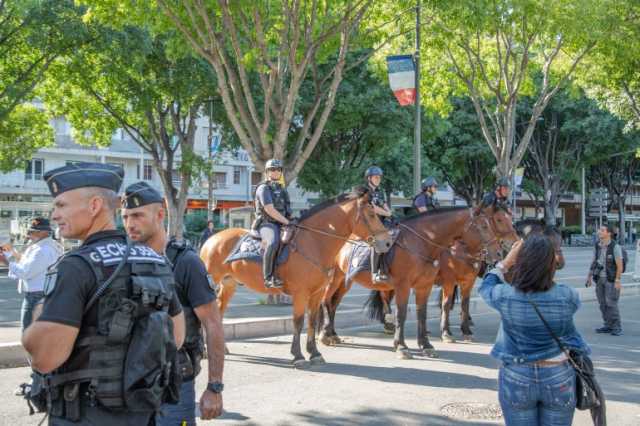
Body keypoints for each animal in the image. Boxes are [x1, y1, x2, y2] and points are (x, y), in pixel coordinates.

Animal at [200, 188, 390, 368]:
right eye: (372, 214)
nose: (387, 242)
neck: (314, 241)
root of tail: (212, 239)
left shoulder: (316, 294)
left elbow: (312, 321)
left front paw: (314, 353)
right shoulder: (300, 294)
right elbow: (298, 322)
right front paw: (298, 356)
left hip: (228, 284)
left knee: (218, 311)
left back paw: (220, 348)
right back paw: (204, 351)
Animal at [318, 205, 516, 358]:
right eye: (487, 224)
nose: (501, 251)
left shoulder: (430, 286)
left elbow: (426, 313)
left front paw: (427, 344)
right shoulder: (413, 285)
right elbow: (405, 313)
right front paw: (402, 346)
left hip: (346, 280)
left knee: (335, 303)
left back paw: (332, 333)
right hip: (334, 279)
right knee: (326, 301)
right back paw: (325, 335)